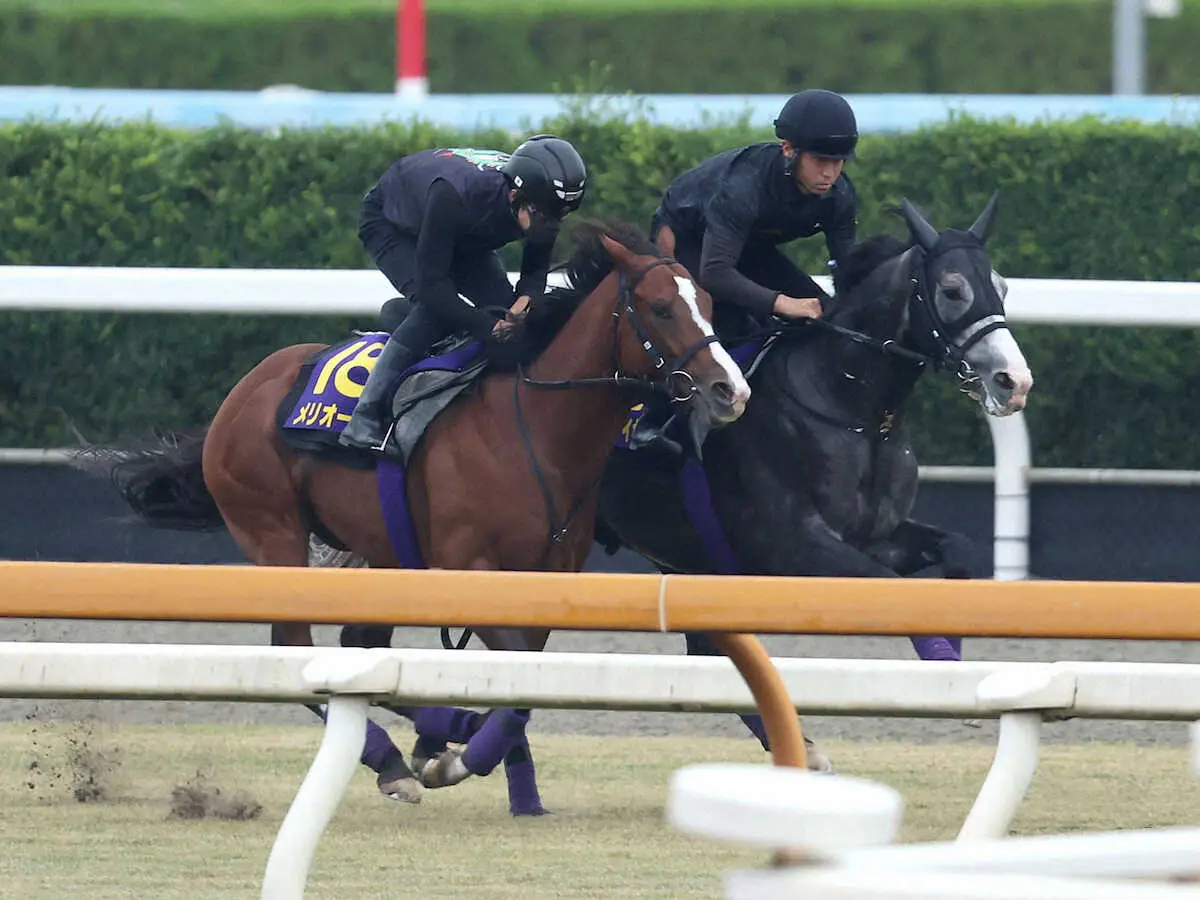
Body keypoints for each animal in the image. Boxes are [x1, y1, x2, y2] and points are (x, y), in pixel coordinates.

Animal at [88, 220, 748, 816]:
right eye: (661, 308)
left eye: (709, 302)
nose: (730, 390)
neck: (532, 426)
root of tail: (244, 390)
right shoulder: (470, 569)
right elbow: (515, 695)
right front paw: (456, 758)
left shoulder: (546, 578)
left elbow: (522, 688)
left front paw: (465, 755)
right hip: (273, 530)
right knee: (295, 648)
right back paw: (402, 750)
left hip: (380, 552)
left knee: (357, 648)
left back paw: (423, 739)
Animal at [590, 195, 1032, 768]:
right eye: (952, 289)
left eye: (1001, 285)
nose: (1013, 381)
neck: (848, 407)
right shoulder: (795, 548)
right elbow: (891, 593)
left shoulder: (877, 535)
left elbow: (956, 549)